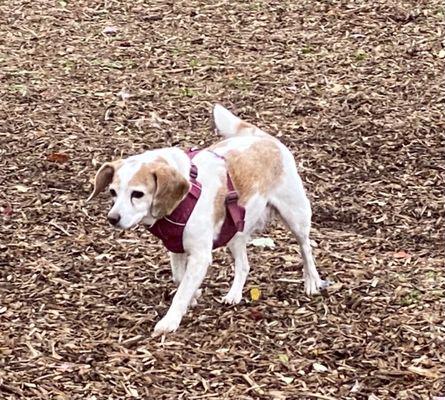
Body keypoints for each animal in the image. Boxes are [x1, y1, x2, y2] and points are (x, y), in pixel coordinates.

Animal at [87, 104, 326, 336]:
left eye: (137, 194)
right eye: (112, 192)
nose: (112, 218)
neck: (184, 197)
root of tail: (262, 137)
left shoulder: (200, 256)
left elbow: (181, 290)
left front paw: (170, 320)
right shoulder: (176, 248)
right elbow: (180, 279)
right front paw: (193, 295)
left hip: (296, 216)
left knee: (306, 249)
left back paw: (312, 281)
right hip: (235, 234)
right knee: (244, 265)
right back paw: (234, 294)